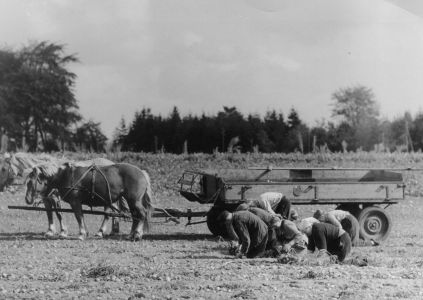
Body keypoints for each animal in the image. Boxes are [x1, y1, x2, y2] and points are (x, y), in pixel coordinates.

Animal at [25, 162, 154, 241]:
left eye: (31, 182)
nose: (27, 199)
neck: (65, 176)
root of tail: (141, 172)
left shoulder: (75, 202)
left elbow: (78, 216)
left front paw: (81, 234)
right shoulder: (76, 203)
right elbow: (81, 216)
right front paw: (85, 232)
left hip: (134, 200)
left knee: (141, 214)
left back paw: (137, 235)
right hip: (132, 201)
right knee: (135, 216)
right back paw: (131, 234)